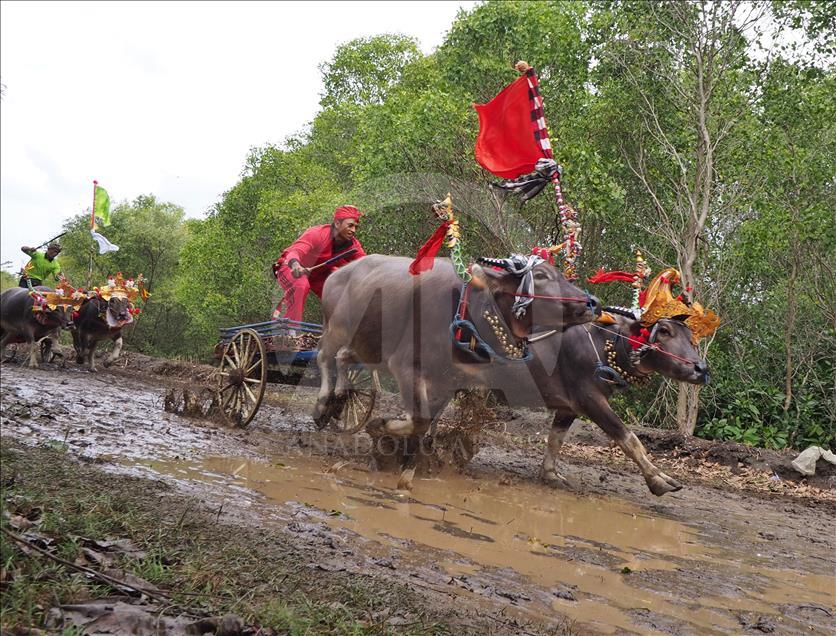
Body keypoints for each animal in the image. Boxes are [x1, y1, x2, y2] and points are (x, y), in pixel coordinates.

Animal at [316, 253, 600, 486]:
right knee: (323, 356)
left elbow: (426, 420)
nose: (593, 303)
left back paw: (338, 398)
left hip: (367, 346)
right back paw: (322, 405)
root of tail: (338, 273)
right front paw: (380, 426)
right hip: (336, 328)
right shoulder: (405, 366)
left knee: (343, 358)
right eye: (541, 275)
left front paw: (410, 461)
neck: (467, 313)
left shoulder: (448, 381)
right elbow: (419, 419)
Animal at [502, 310, 712, 496]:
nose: (701, 369)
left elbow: (556, 439)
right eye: (664, 331)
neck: (605, 344)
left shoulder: (568, 408)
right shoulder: (589, 399)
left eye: (690, 337)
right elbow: (629, 439)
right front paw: (658, 479)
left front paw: (550, 474)